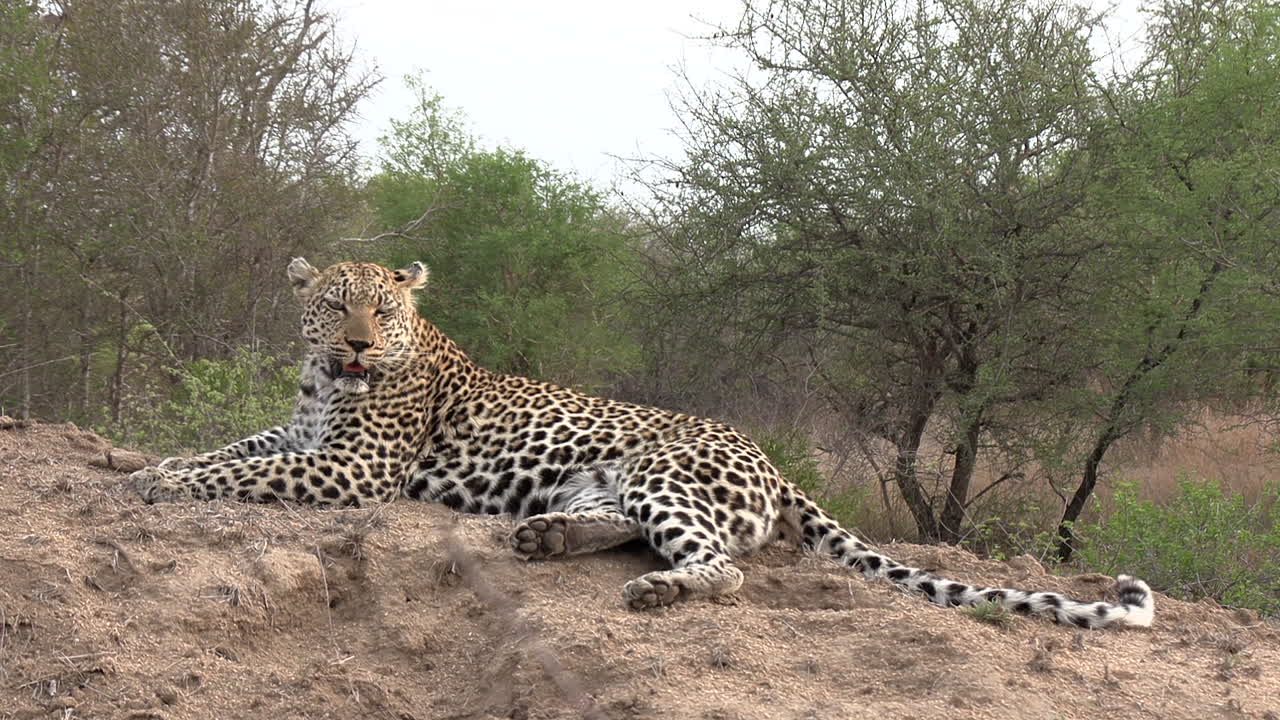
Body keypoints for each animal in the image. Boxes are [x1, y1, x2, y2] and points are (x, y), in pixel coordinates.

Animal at [130, 258, 1155, 628]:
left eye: (382, 311)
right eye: (334, 305)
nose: (355, 346)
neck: (326, 383)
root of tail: (772, 460)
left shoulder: (352, 467)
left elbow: (250, 472)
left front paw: (163, 480)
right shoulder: (303, 431)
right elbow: (241, 447)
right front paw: (151, 462)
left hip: (666, 474)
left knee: (723, 567)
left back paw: (659, 590)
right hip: (599, 482)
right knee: (619, 526)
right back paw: (546, 539)